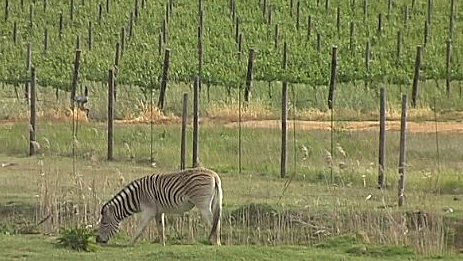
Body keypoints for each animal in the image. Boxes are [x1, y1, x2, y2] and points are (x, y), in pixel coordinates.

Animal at [95, 168, 223, 245]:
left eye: (104, 223)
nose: (97, 240)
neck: (137, 197)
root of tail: (214, 175)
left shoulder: (149, 211)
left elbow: (140, 228)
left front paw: (130, 243)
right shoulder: (158, 211)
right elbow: (160, 228)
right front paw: (163, 244)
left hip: (203, 205)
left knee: (213, 222)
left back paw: (214, 243)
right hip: (213, 203)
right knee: (217, 221)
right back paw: (218, 243)